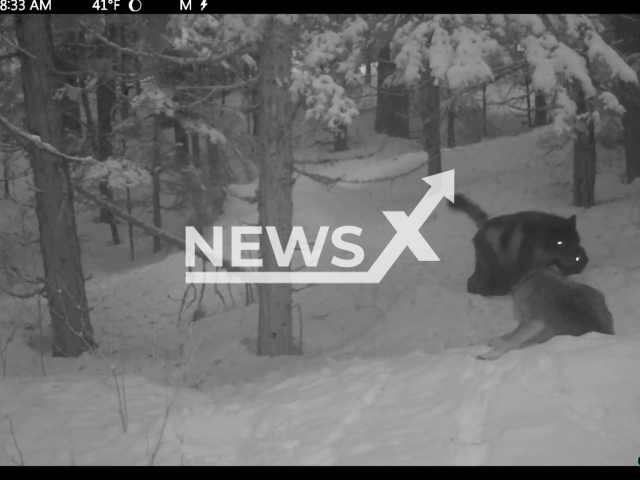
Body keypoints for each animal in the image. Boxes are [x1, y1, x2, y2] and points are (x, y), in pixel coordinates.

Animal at [448, 193, 588, 294]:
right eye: (560, 242)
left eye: (575, 241)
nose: (578, 257)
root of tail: (485, 224)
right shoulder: (526, 267)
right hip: (489, 267)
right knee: (472, 283)